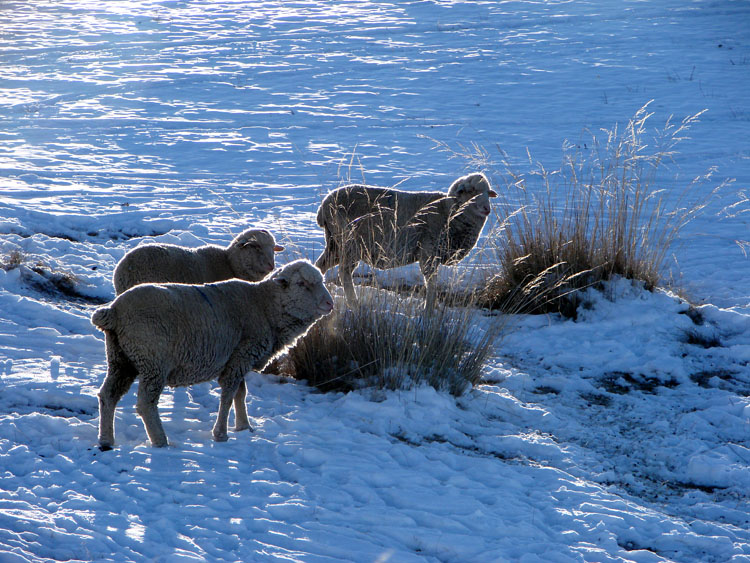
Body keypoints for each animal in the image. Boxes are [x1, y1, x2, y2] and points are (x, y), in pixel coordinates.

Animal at [91, 260, 332, 450]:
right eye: (302, 284)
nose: (330, 303)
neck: (265, 306)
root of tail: (113, 312)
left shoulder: (238, 357)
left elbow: (240, 394)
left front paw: (244, 427)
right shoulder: (241, 356)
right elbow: (228, 395)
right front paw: (222, 434)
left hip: (121, 358)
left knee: (108, 395)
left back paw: (106, 440)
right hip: (153, 361)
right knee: (145, 403)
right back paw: (161, 442)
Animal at [314, 173, 496, 308]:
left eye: (488, 193)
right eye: (470, 191)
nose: (487, 209)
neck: (449, 214)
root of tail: (323, 207)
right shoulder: (428, 253)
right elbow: (431, 283)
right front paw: (429, 311)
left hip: (335, 244)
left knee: (321, 265)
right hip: (352, 244)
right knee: (344, 272)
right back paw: (354, 304)